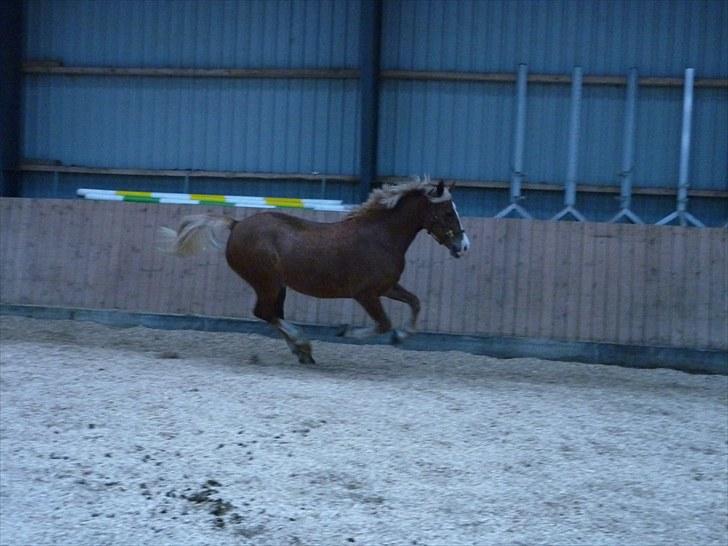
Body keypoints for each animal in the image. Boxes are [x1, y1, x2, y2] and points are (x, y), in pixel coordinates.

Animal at [157, 178, 470, 364]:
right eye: (447, 213)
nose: (463, 245)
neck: (380, 236)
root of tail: (236, 224)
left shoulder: (387, 287)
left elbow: (415, 302)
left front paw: (402, 336)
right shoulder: (366, 294)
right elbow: (383, 324)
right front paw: (346, 332)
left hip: (277, 286)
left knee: (272, 314)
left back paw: (302, 351)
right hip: (267, 282)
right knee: (265, 313)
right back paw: (303, 344)